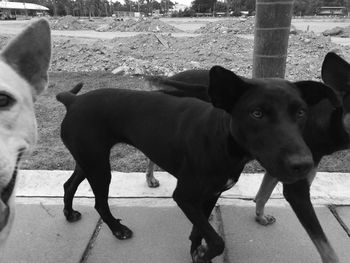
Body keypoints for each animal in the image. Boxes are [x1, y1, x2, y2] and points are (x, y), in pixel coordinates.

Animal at [57, 66, 340, 263]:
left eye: (301, 113)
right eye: (257, 113)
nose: (303, 165)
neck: (221, 138)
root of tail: (73, 100)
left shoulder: (210, 195)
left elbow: (200, 230)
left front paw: (197, 252)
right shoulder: (185, 196)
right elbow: (216, 240)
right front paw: (205, 253)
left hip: (87, 160)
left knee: (69, 184)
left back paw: (69, 214)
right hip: (98, 166)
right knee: (99, 202)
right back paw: (117, 229)